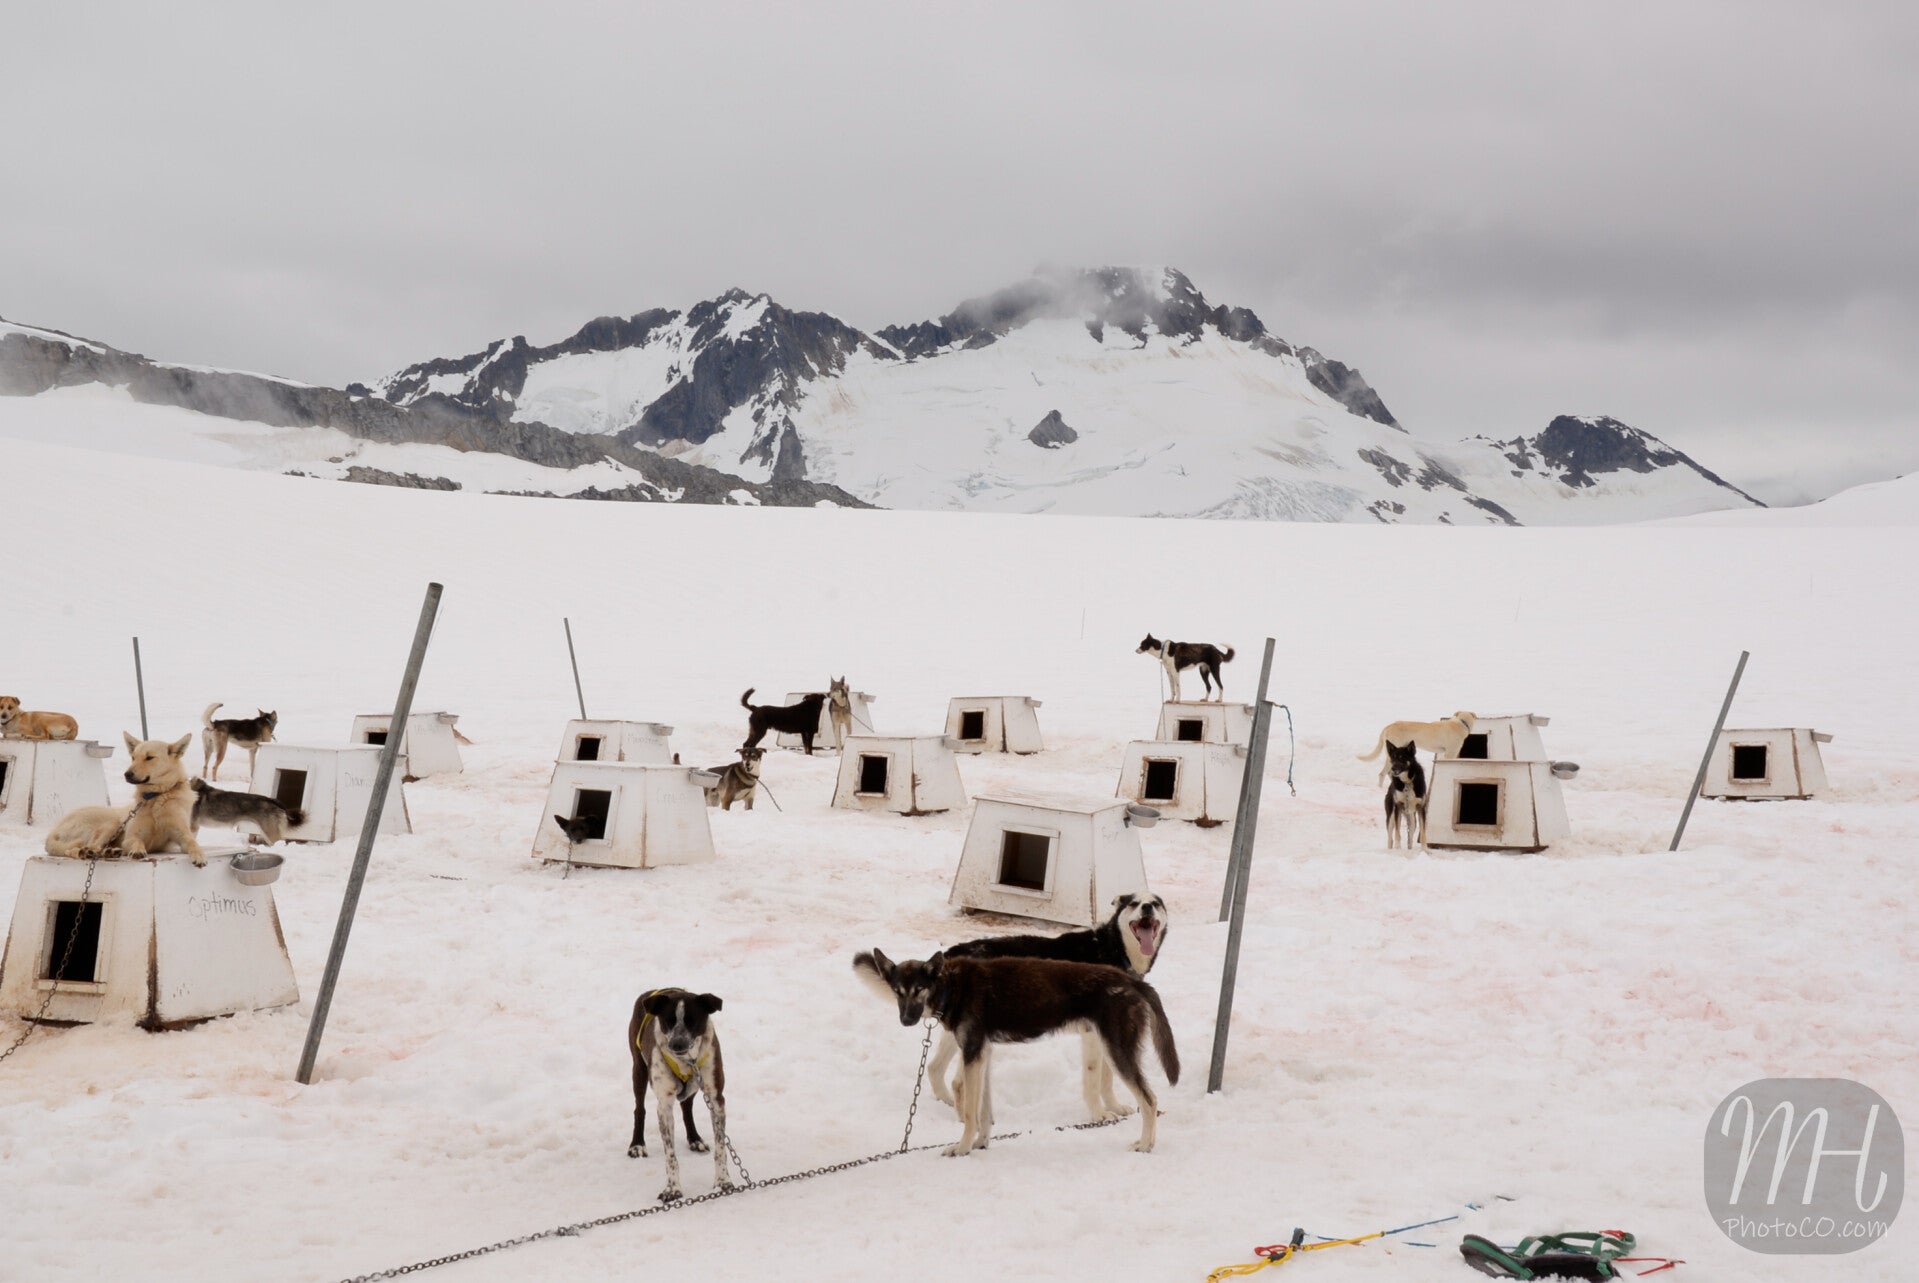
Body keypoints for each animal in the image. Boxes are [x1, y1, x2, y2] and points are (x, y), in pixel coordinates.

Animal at [45, 732, 205, 864]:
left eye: (149, 757)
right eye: (133, 757)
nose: (127, 774)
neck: (155, 797)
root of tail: (55, 829)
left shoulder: (182, 835)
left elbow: (193, 843)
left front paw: (199, 855)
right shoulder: (130, 837)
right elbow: (136, 841)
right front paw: (137, 850)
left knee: (93, 849)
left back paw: (108, 852)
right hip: (111, 823)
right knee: (82, 848)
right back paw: (86, 853)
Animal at [627, 988, 734, 1202]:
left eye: (692, 1020)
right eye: (668, 1020)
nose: (677, 1044)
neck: (687, 1061)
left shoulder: (716, 1098)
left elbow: (720, 1148)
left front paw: (722, 1182)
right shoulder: (664, 1105)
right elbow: (670, 1155)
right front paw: (673, 1189)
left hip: (693, 1086)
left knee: (686, 1107)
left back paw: (695, 1139)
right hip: (639, 1070)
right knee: (639, 1109)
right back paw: (637, 1145)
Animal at [854, 950, 1179, 1156]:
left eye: (919, 989)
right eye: (898, 991)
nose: (906, 1020)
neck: (952, 986)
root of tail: (1131, 980)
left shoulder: (972, 1054)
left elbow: (970, 1113)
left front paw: (961, 1147)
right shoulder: (982, 1055)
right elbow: (983, 1112)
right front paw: (979, 1144)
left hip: (1117, 1052)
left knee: (1150, 1100)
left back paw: (1145, 1145)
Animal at [928, 893, 1168, 1124]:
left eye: (1156, 903)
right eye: (1134, 903)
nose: (1147, 907)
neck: (1112, 947)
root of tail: (954, 953)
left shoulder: (1108, 1035)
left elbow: (1107, 1079)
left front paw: (1115, 1107)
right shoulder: (1092, 1033)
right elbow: (1094, 1077)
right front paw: (1099, 1115)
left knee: (934, 1068)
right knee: (956, 1081)